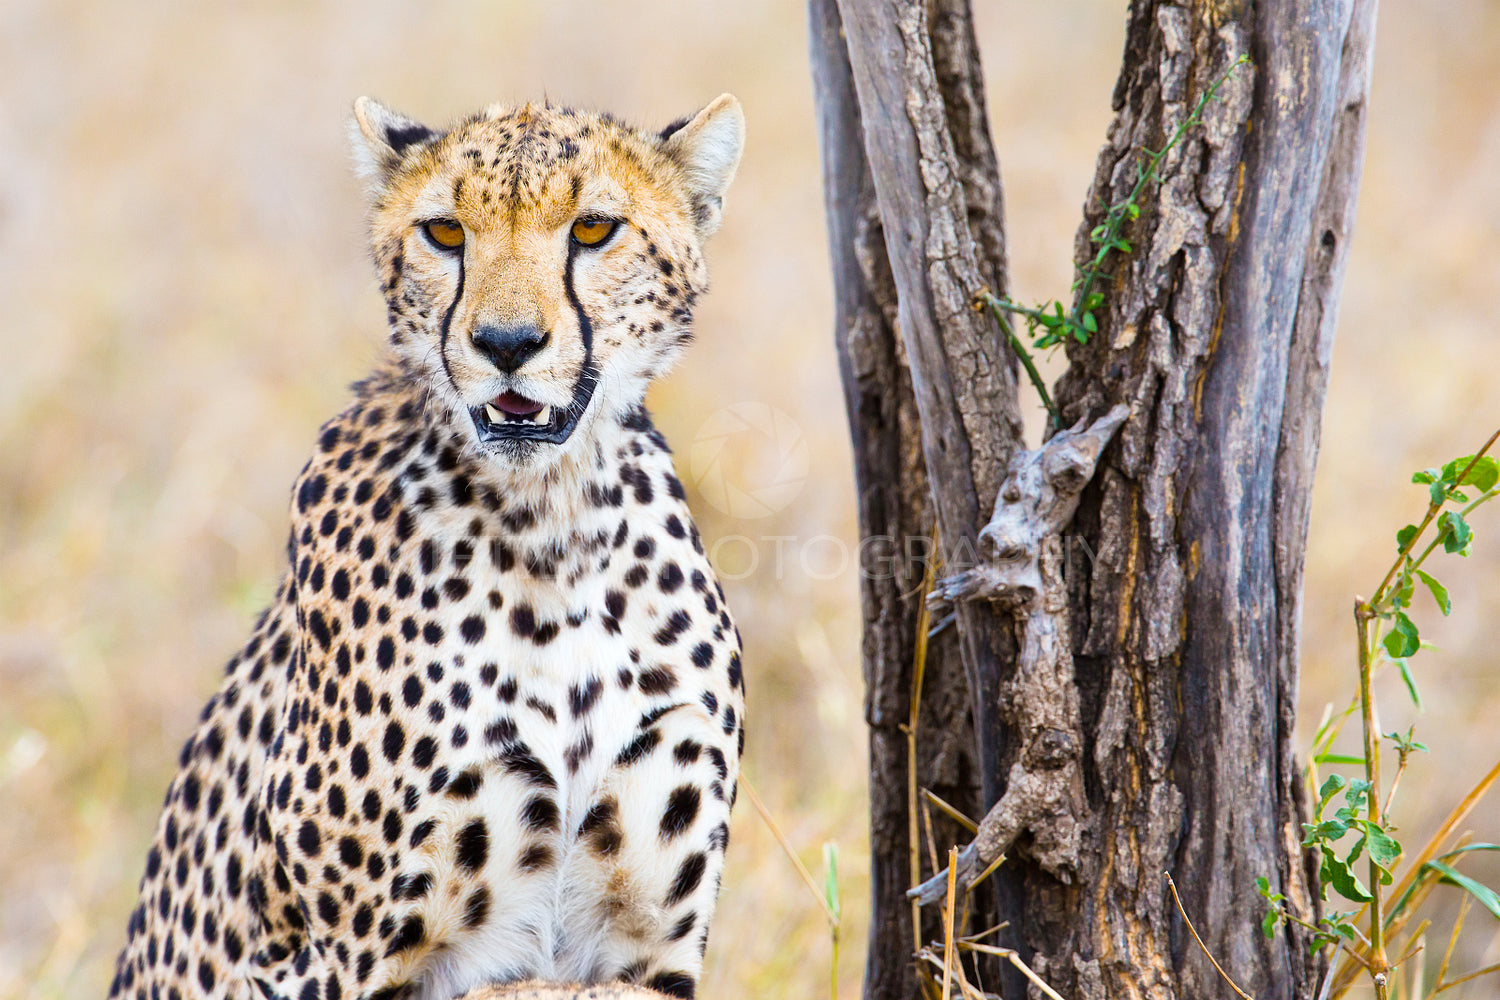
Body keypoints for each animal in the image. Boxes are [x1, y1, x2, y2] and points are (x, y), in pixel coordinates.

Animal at [108, 93, 750, 1000]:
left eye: (593, 229)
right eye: (445, 233)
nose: (507, 344)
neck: (552, 525)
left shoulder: (646, 953)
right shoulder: (341, 964)